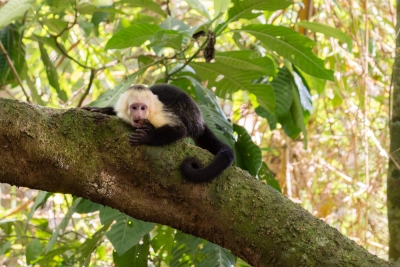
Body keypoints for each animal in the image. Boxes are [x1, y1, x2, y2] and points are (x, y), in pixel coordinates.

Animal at [84, 85, 234, 183]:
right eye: (134, 107)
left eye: (143, 108)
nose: (139, 115)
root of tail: (200, 121)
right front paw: (103, 110)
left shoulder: (157, 114)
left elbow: (179, 130)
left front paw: (146, 136)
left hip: (189, 113)